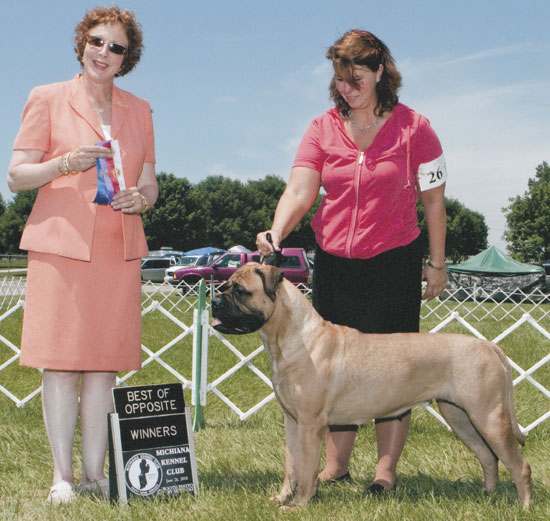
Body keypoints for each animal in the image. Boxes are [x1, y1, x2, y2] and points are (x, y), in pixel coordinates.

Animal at [211, 262, 532, 506]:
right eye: (225, 285)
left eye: (241, 291)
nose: (214, 300)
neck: (290, 337)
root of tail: (489, 346)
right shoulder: (292, 422)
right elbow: (291, 466)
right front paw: (281, 498)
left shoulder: (311, 425)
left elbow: (306, 470)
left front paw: (299, 504)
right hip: (460, 417)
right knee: (488, 457)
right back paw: (487, 496)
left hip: (489, 418)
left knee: (519, 465)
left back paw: (523, 505)